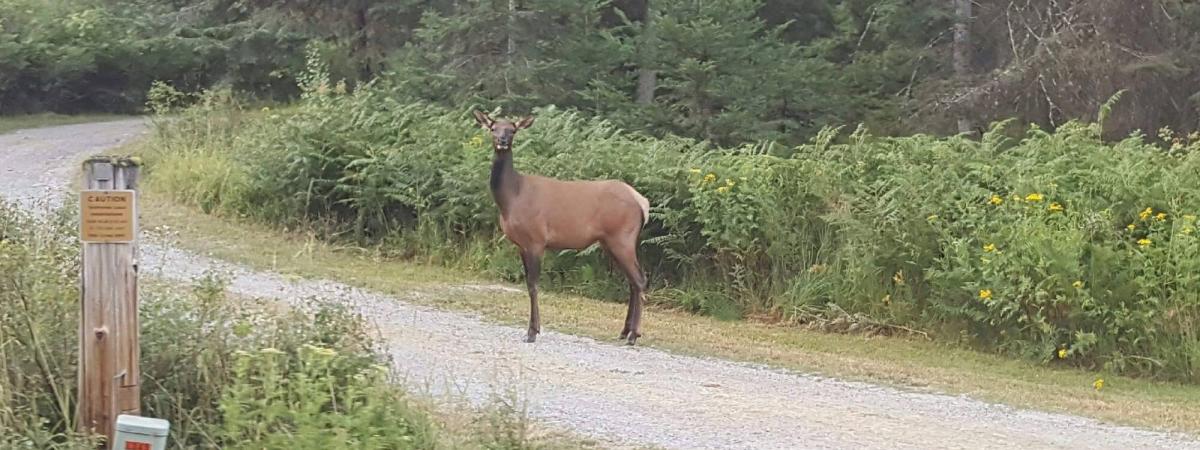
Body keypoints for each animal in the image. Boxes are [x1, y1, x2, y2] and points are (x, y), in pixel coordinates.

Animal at [472, 110, 651, 345]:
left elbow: (533, 285)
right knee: (632, 281)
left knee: (640, 279)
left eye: (512, 129)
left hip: (622, 237)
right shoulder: (521, 245)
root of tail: (642, 202)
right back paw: (624, 331)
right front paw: (532, 329)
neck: (511, 199)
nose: (502, 140)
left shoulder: (536, 239)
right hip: (610, 242)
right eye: (493, 128)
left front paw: (532, 332)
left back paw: (633, 335)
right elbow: (528, 284)